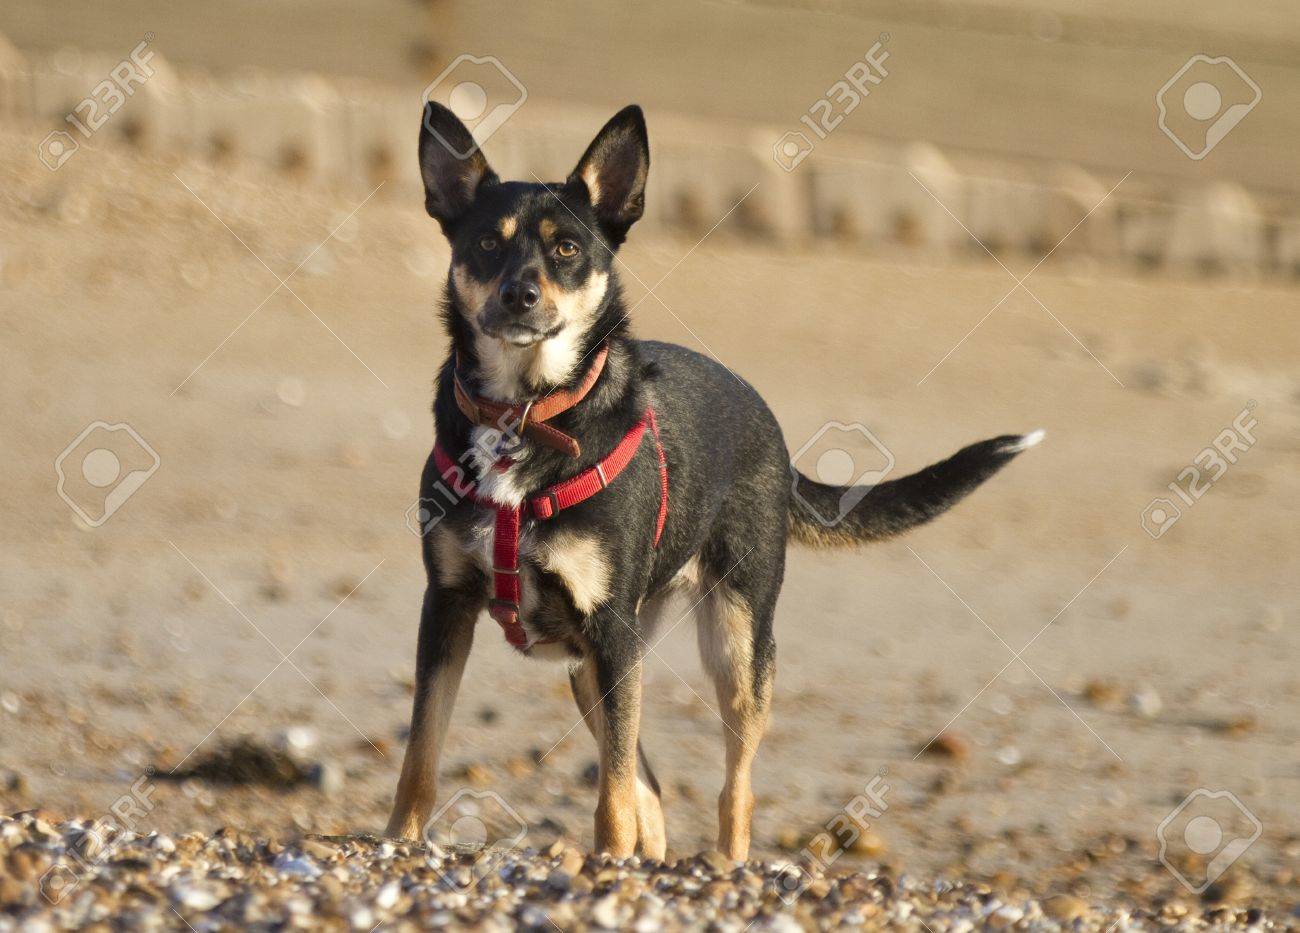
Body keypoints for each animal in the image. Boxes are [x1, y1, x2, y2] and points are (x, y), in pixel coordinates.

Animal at [379, 102, 1040, 862]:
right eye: (487, 242)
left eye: (568, 249)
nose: (520, 294)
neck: (528, 411)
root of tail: (772, 428)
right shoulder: (448, 605)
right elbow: (422, 751)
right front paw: (398, 841)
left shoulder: (609, 628)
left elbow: (611, 786)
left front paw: (611, 858)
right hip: (601, 662)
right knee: (647, 777)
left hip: (733, 642)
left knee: (731, 783)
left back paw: (720, 860)